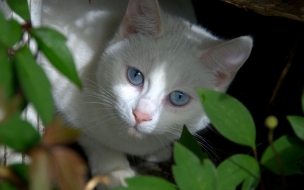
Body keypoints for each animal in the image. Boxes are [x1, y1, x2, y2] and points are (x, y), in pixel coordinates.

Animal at [41, 0, 253, 189]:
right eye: (135, 76)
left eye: (179, 98)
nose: (140, 115)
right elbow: (89, 135)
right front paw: (114, 171)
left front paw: (159, 150)